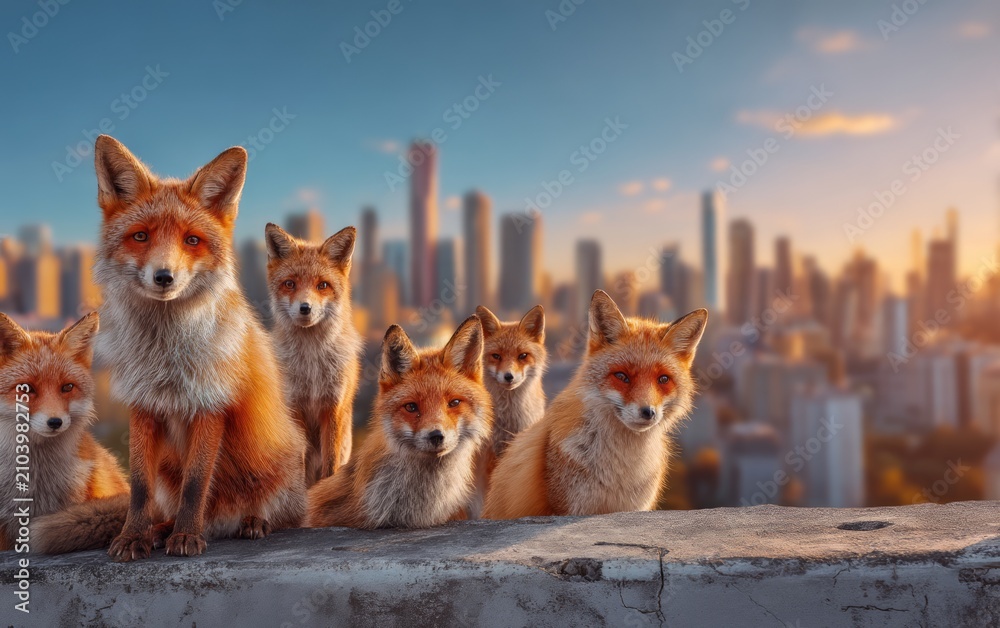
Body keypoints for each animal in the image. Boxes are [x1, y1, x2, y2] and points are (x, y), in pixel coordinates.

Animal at [89, 135, 306, 561]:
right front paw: (134, 536)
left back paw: (251, 523)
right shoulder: (142, 405)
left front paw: (188, 536)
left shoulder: (210, 404)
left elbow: (196, 483)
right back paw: (162, 528)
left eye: (192, 240)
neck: (165, 357)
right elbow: (139, 486)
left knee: (282, 516)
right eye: (141, 236)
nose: (164, 277)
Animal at [264, 223, 362, 486]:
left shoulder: (333, 407)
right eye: (290, 284)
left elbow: (330, 467)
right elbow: (300, 465)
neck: (312, 367)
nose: (305, 308)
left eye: (322, 285)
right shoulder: (294, 407)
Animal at [482, 290, 708, 519]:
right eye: (621, 376)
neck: (620, 470)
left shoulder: (635, 507)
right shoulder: (569, 508)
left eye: (663, 379)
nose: (648, 412)